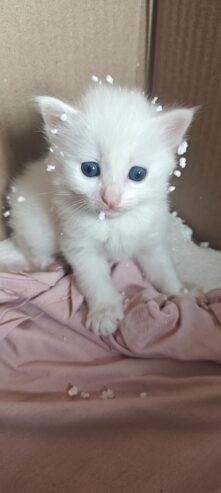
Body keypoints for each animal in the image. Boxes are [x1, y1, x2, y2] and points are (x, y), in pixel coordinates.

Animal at [0, 86, 193, 336]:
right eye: (89, 169)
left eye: (138, 174)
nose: (111, 199)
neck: (114, 223)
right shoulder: (80, 247)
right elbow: (96, 281)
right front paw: (105, 312)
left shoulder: (152, 240)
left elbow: (164, 270)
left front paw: (183, 293)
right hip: (34, 228)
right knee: (33, 252)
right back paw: (46, 265)